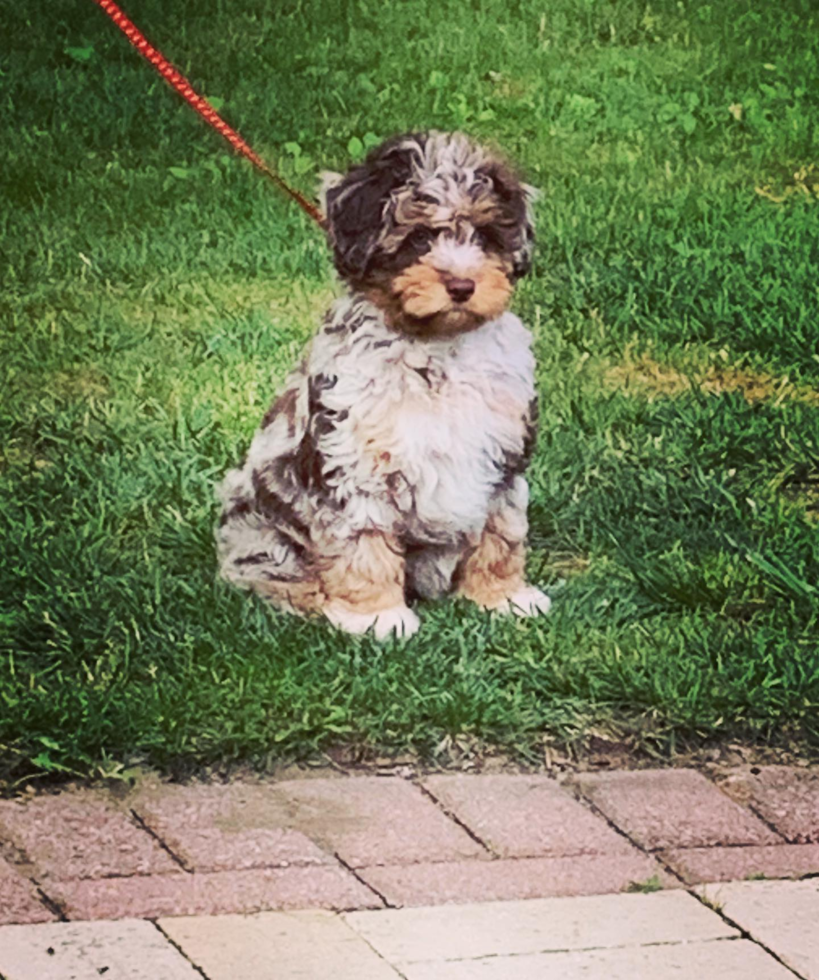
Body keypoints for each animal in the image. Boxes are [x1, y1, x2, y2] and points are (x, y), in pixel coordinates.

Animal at [218, 130, 552, 640]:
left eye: (485, 235)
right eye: (418, 237)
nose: (462, 286)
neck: (434, 349)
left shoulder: (503, 455)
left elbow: (501, 532)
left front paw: (504, 598)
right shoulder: (354, 462)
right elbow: (363, 543)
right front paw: (378, 617)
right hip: (257, 528)